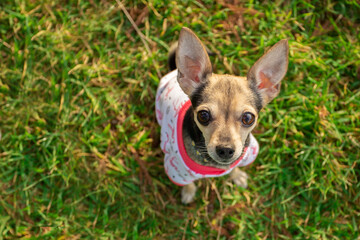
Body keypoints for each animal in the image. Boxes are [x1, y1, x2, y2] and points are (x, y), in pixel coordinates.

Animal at [155, 27, 290, 203]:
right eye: (203, 116)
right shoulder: (176, 170)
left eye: (248, 118)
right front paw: (189, 192)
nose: (225, 150)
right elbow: (188, 183)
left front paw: (237, 176)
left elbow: (234, 167)